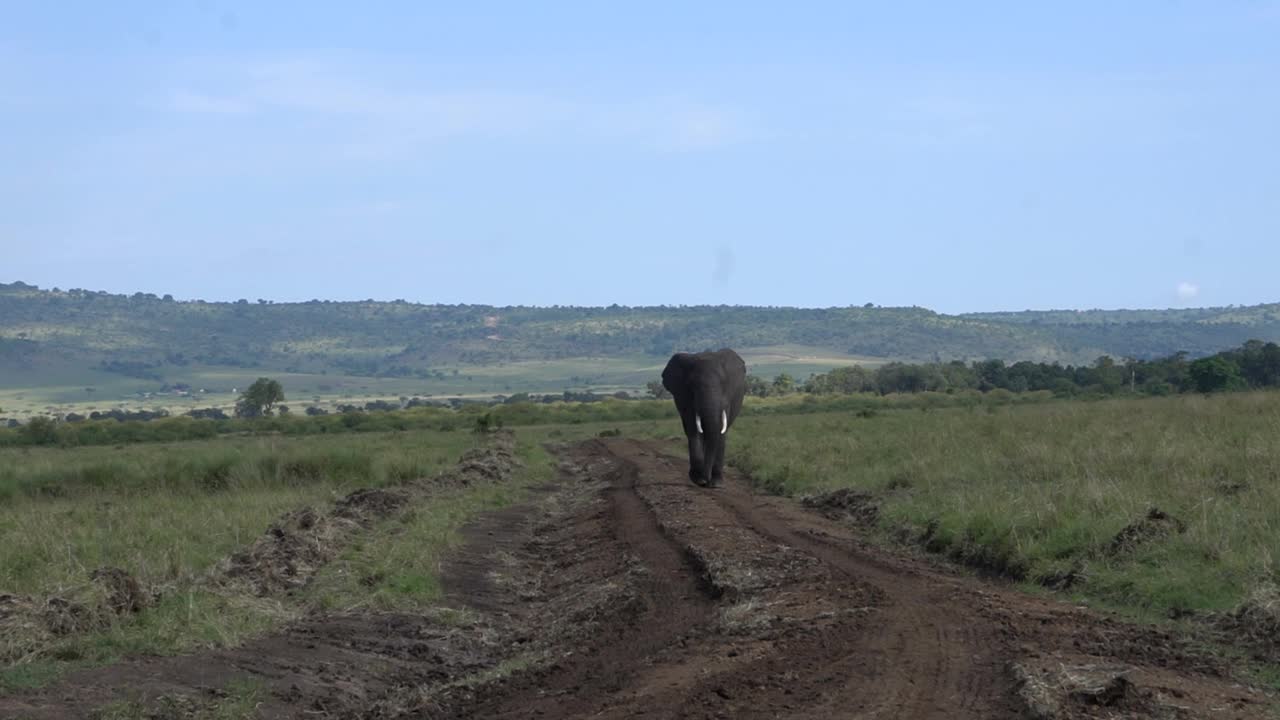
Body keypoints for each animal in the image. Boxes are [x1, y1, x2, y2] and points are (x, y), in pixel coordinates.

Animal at [665, 345, 747, 484]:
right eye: (691, 385)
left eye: (723, 383)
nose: (706, 479)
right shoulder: (685, 398)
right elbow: (692, 428)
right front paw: (698, 480)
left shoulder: (727, 399)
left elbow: (721, 431)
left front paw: (716, 483)